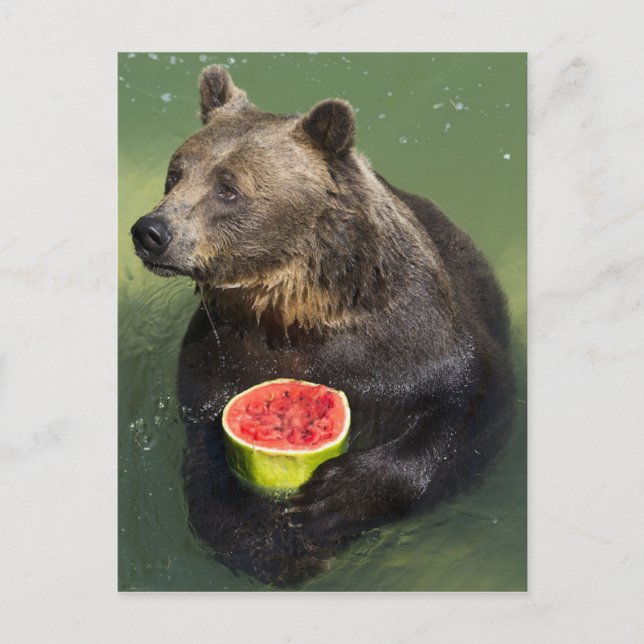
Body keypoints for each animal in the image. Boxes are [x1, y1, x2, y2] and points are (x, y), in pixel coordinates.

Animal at [131, 65, 514, 586]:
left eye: (227, 187)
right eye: (176, 173)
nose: (151, 232)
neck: (295, 310)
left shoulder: (411, 339)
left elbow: (468, 404)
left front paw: (333, 498)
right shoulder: (221, 347)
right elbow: (205, 442)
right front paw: (256, 537)